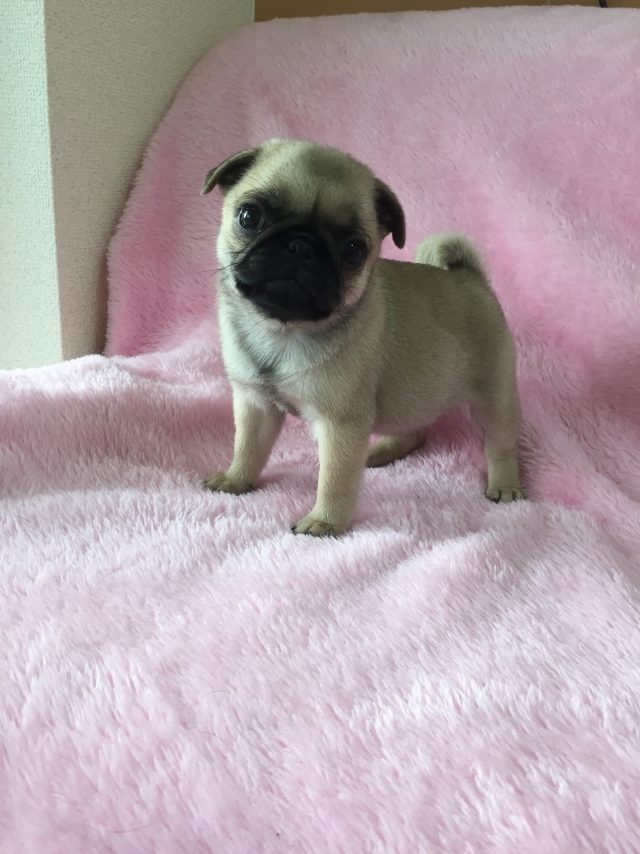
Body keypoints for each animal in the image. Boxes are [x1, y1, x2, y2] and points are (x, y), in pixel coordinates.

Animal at [201, 139, 525, 536]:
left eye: (353, 251)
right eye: (249, 217)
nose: (301, 246)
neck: (283, 329)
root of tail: (470, 276)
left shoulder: (341, 425)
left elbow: (335, 479)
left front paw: (325, 522)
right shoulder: (255, 405)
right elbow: (247, 449)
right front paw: (236, 480)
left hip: (495, 397)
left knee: (500, 444)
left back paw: (506, 485)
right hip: (415, 395)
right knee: (414, 431)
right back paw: (381, 451)